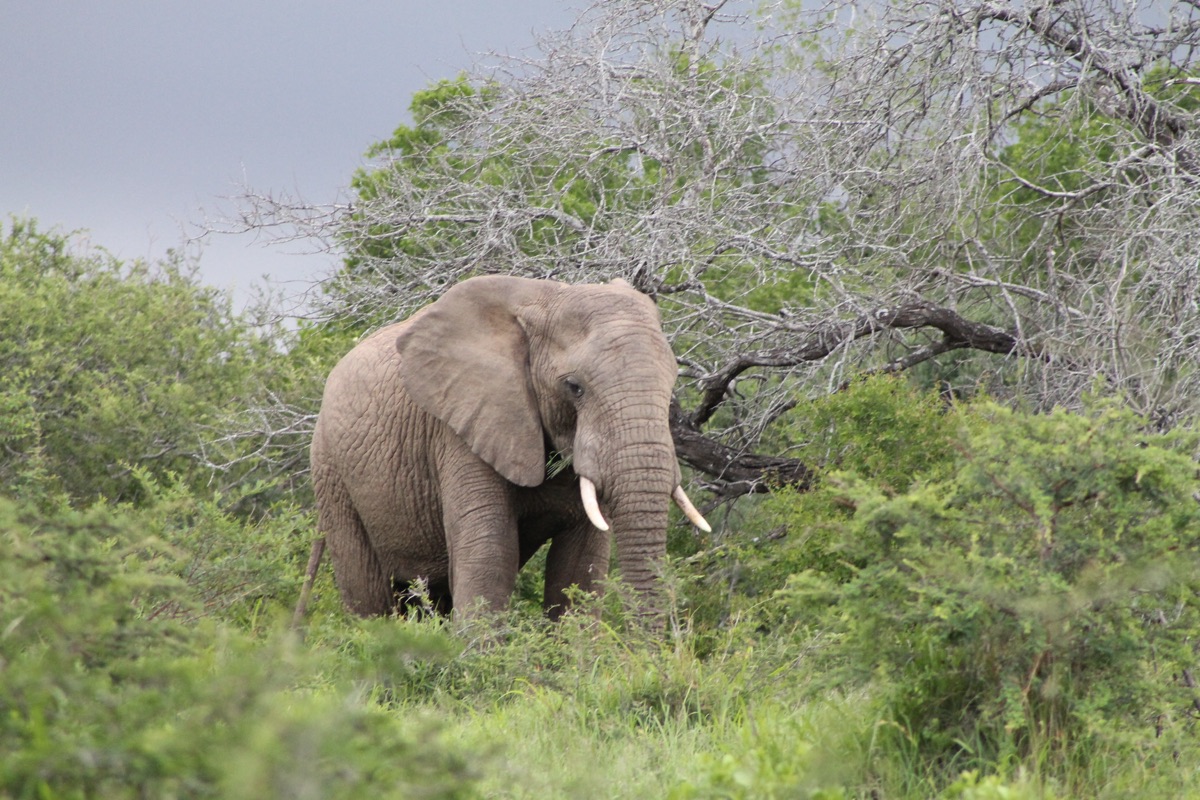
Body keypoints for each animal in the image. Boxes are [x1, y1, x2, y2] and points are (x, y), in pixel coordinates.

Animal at [301, 275, 709, 623]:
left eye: (673, 383)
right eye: (574, 387)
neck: (544, 300)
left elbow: (581, 567)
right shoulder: (461, 428)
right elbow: (489, 556)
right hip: (332, 474)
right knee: (369, 596)